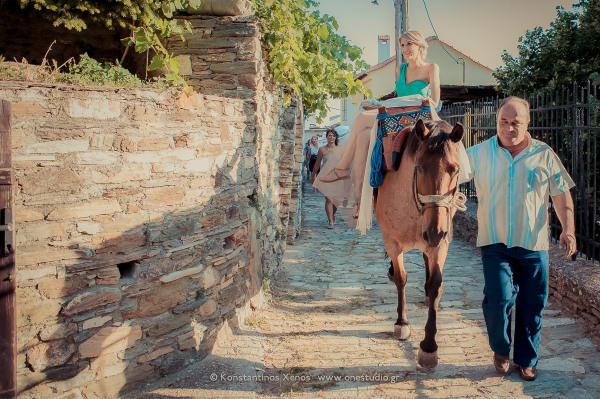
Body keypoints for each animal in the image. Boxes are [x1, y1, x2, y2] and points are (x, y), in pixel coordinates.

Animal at [376, 118, 468, 368]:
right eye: (419, 168)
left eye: (455, 170)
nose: (435, 232)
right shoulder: (392, 242)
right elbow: (401, 278)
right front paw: (402, 322)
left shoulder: (441, 244)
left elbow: (436, 284)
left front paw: (429, 346)